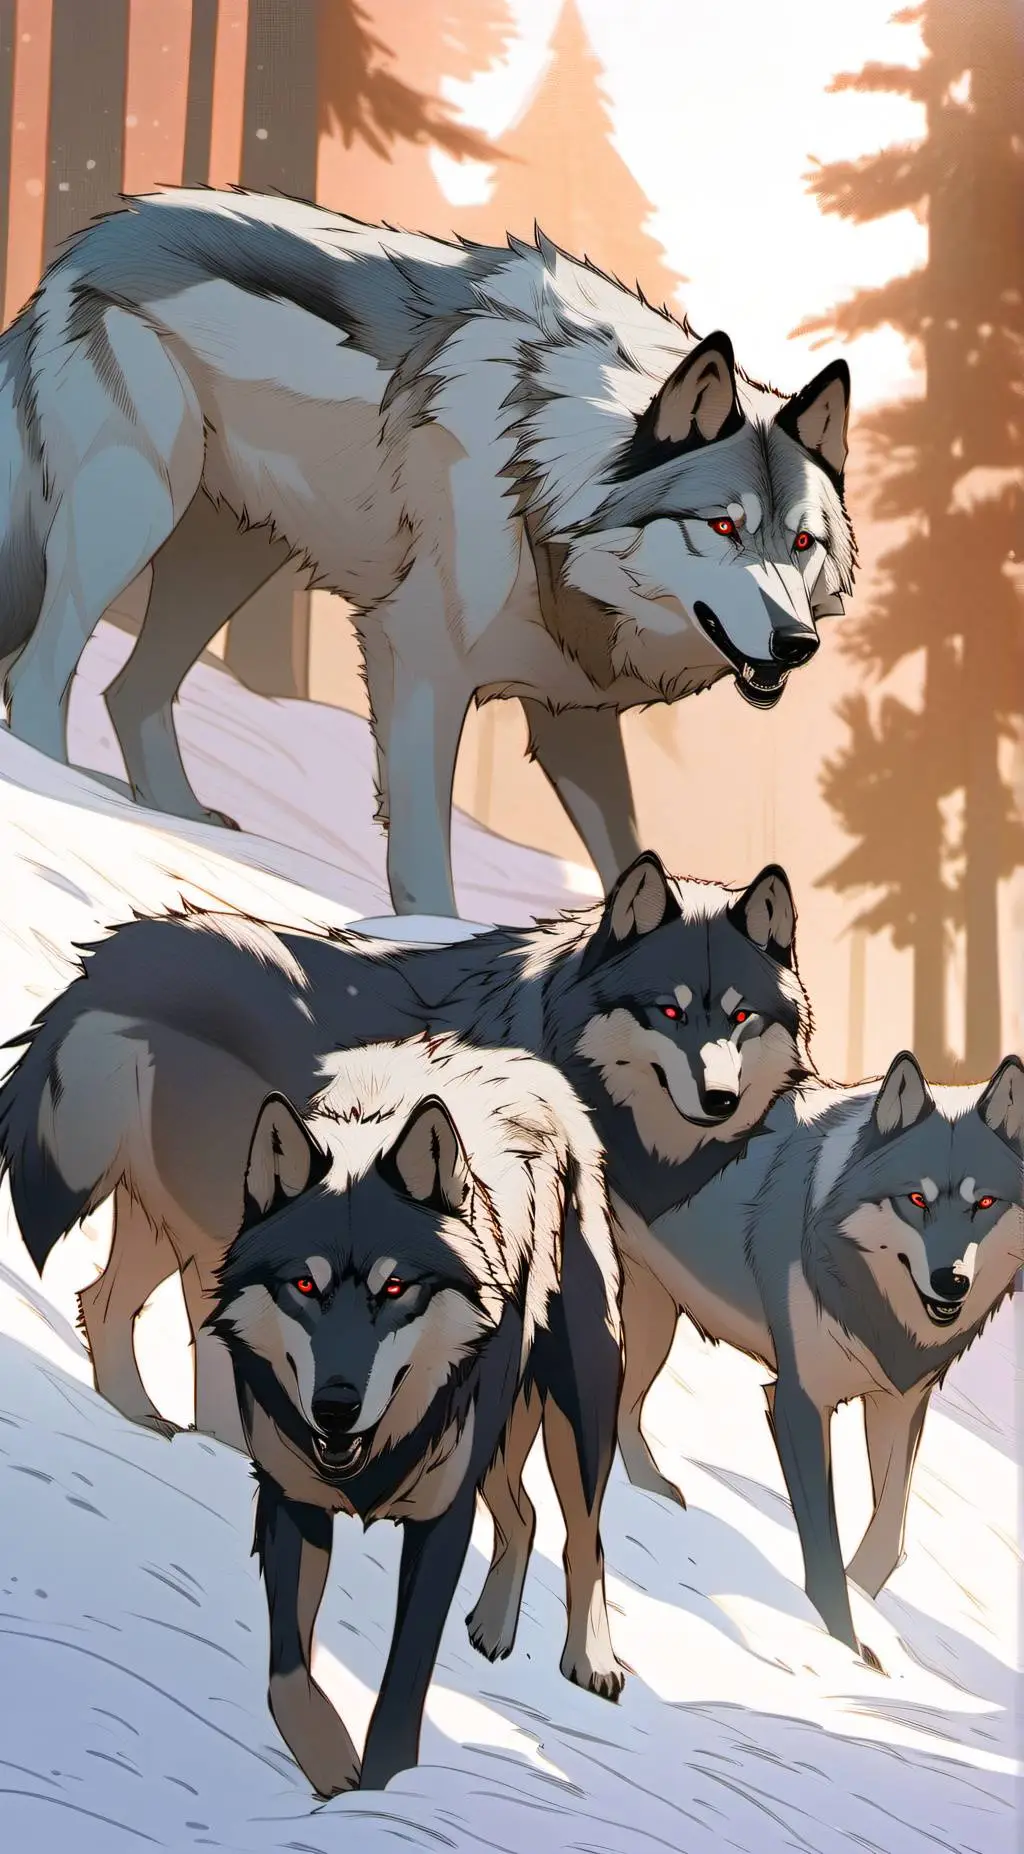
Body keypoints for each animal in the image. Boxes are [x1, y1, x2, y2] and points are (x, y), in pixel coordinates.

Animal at [0, 188, 855, 912]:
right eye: (723, 527)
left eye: (802, 542)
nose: (796, 643)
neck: (537, 472)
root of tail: (92, 239)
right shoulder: (416, 660)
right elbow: (421, 857)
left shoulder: (574, 713)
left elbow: (625, 856)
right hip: (131, 515)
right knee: (38, 676)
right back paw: (60, 788)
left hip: (227, 559)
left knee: (131, 691)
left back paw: (182, 819)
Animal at [589, 1049, 1024, 1657]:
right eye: (916, 1199)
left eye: (983, 1202)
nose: (951, 1281)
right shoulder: (798, 1402)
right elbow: (823, 1547)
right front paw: (847, 1648)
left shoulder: (898, 1403)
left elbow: (889, 1532)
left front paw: (868, 1610)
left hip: (654, 1319)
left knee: (626, 1410)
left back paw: (654, 1492)